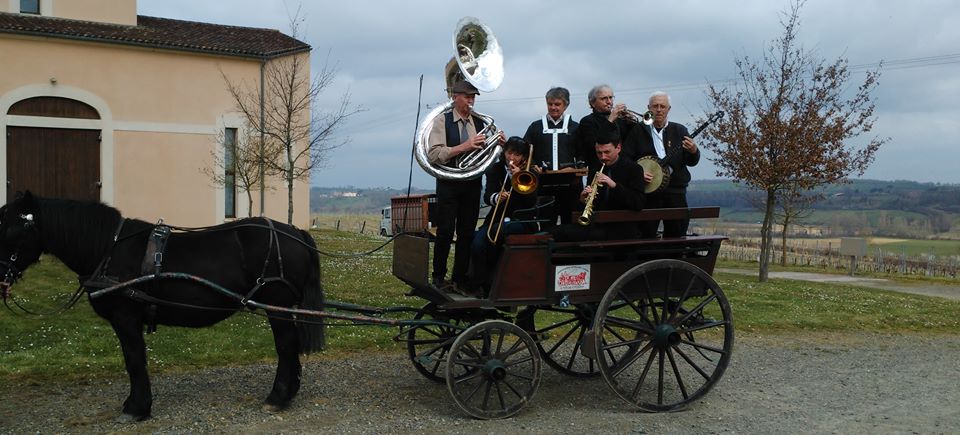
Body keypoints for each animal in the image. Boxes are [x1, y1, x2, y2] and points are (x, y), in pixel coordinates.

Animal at [0, 193, 326, 422]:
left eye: (11, 228)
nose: (1, 277)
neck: (109, 249)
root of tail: (295, 233)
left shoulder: (125, 317)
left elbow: (134, 360)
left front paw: (137, 407)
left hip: (277, 305)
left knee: (286, 347)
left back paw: (278, 396)